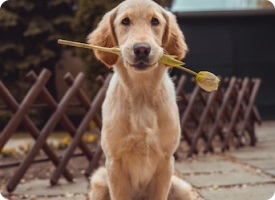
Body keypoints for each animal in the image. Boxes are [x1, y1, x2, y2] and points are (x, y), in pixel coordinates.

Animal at [88, 0, 192, 200]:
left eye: (155, 21)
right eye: (125, 21)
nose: (142, 49)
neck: (141, 95)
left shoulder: (166, 162)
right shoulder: (114, 162)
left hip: (182, 187)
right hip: (98, 181)